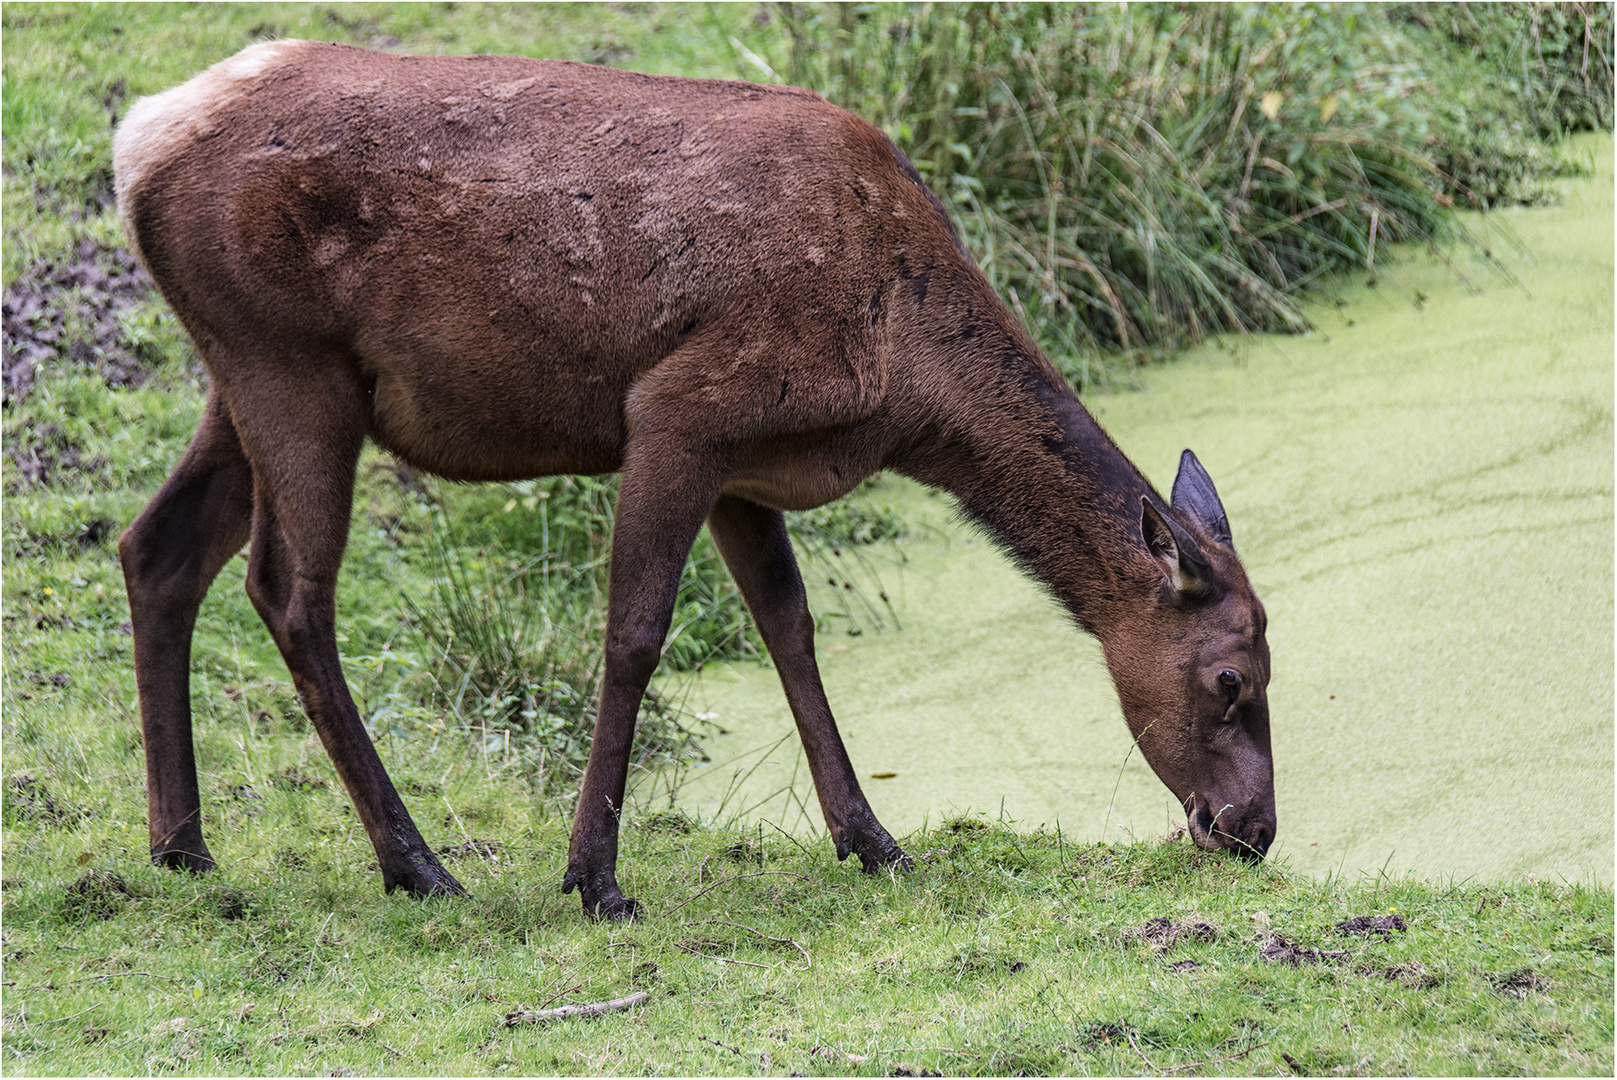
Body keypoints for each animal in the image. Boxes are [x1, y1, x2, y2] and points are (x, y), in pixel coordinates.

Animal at [113, 42, 1274, 918]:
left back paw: (184, 846)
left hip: (241, 373)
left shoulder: (748, 467)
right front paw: (592, 879)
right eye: (1232, 679)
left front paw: (874, 841)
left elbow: (791, 630)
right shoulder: (680, 408)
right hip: (290, 364)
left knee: (155, 547)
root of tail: (136, 142)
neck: (902, 378)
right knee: (289, 593)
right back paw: (415, 862)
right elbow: (634, 636)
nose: (1253, 829)